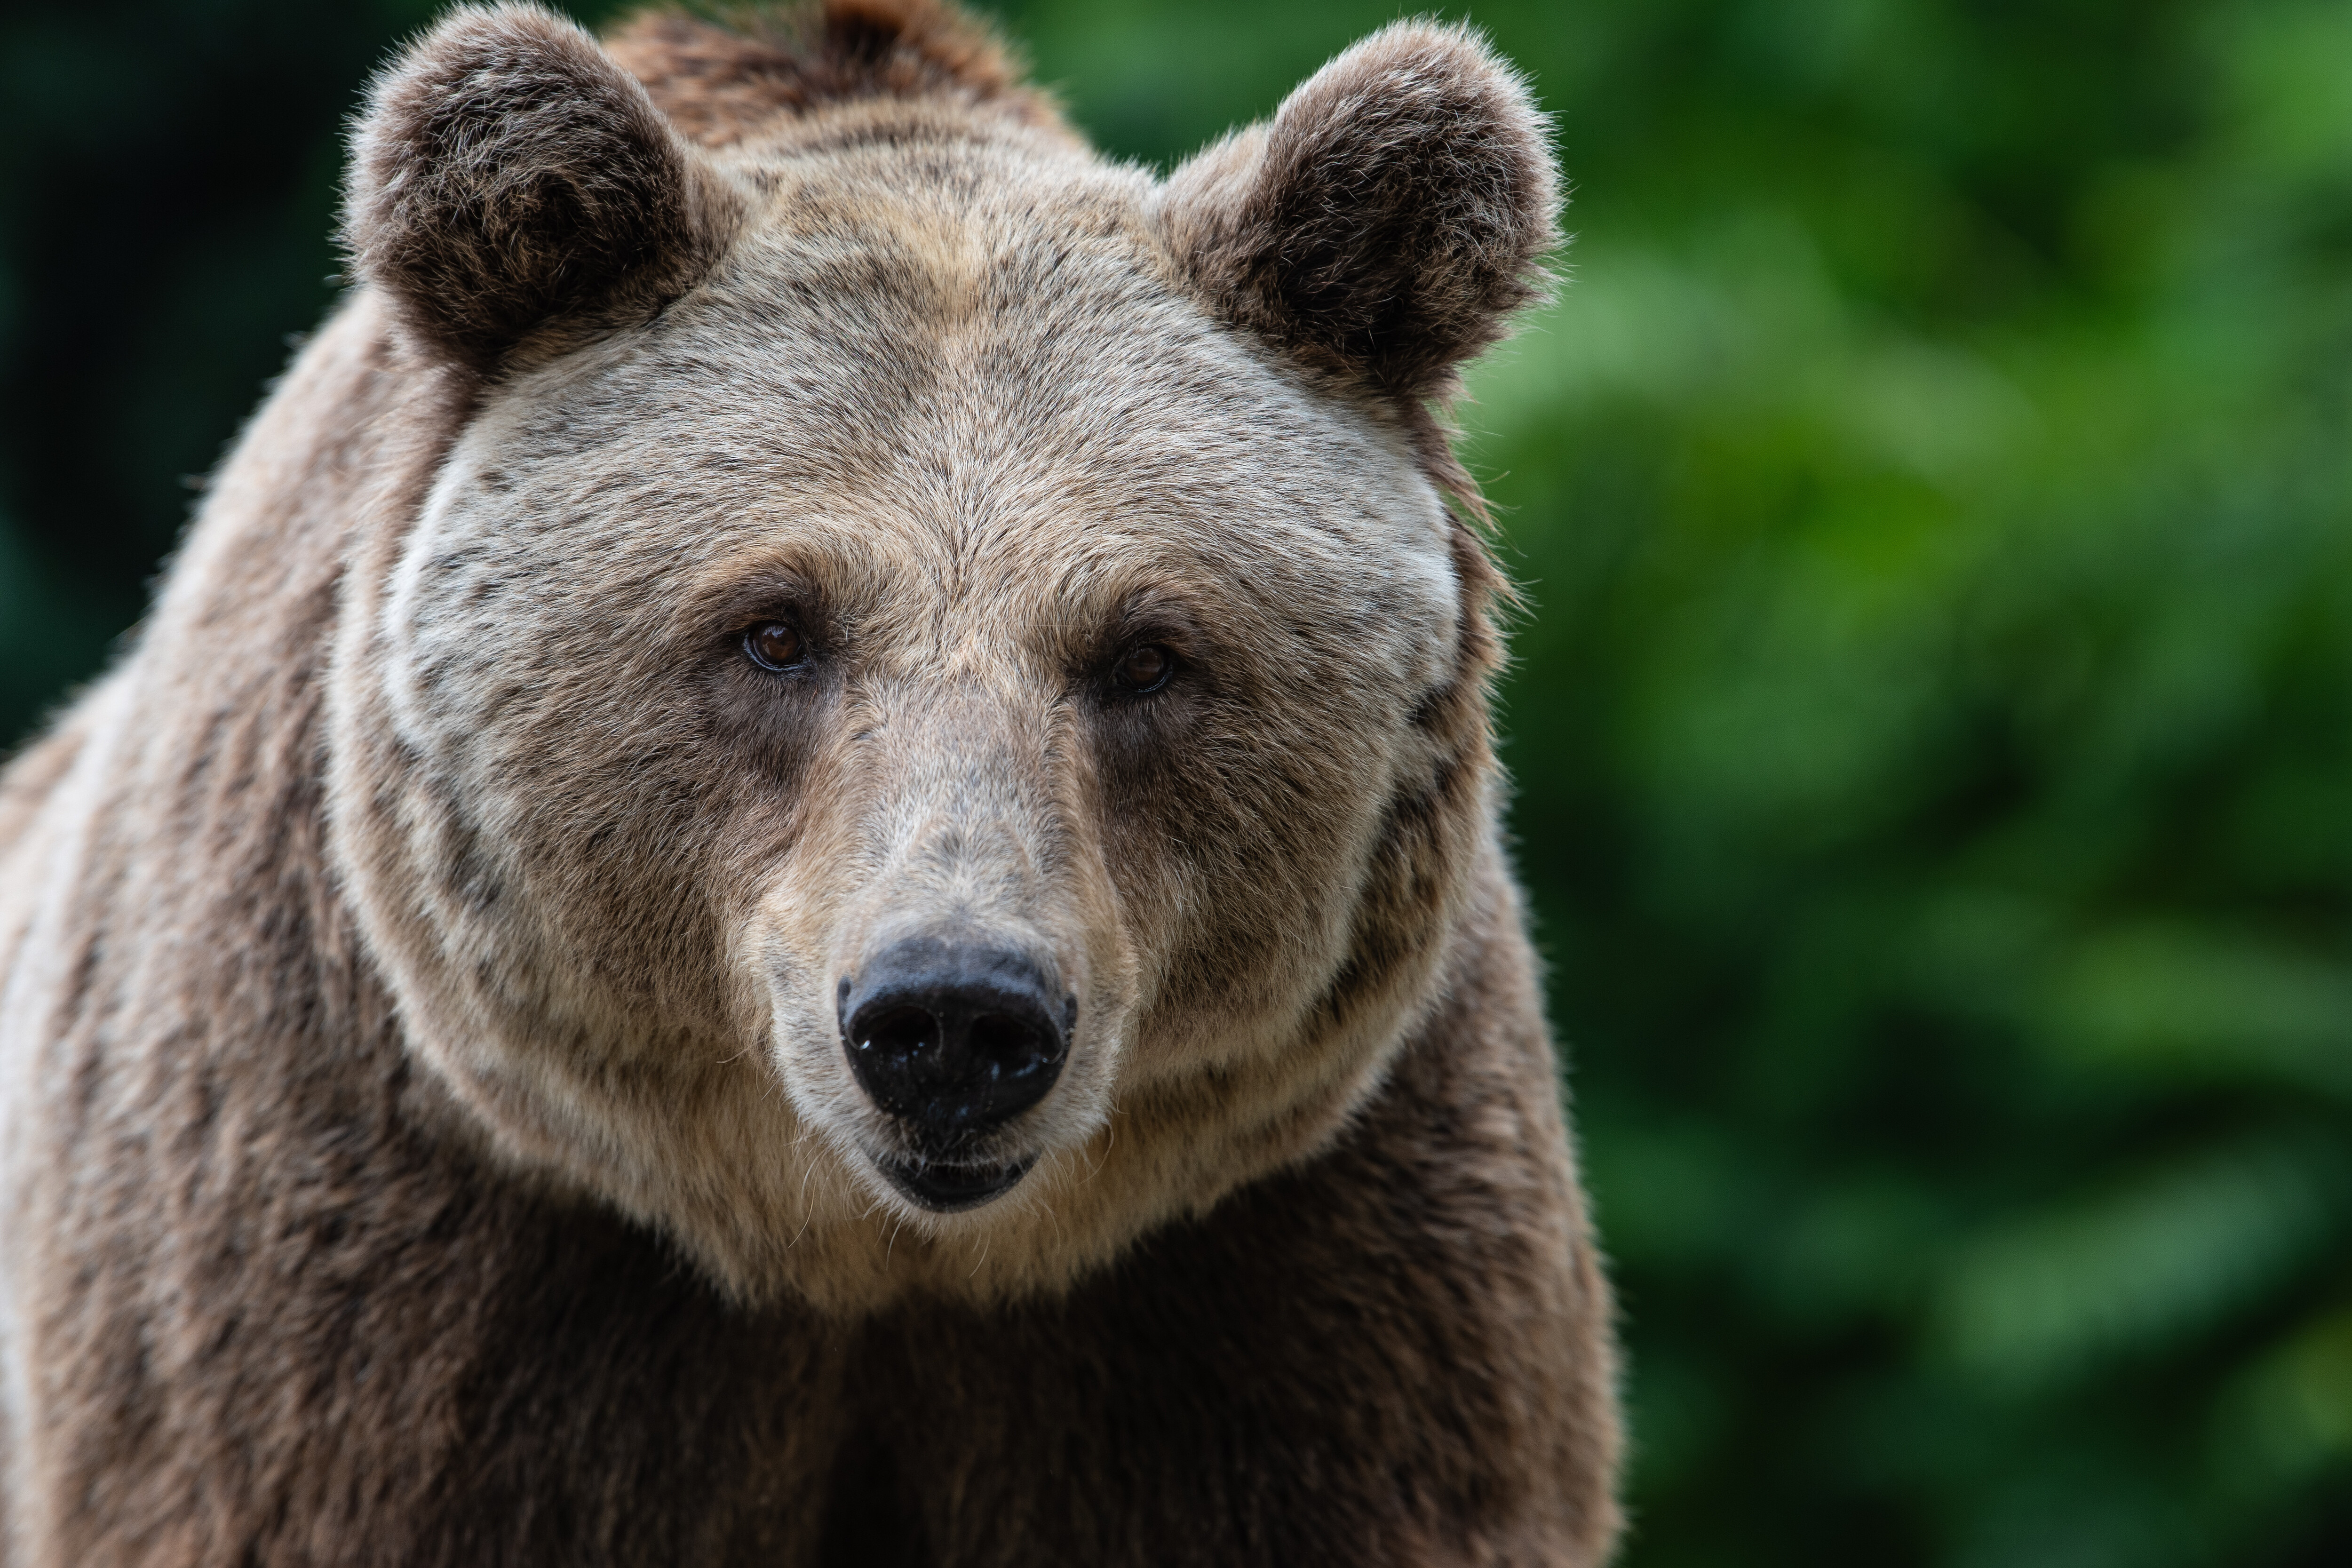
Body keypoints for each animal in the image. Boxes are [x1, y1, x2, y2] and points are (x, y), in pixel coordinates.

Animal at [0, 3, 1618, 1561]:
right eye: (775, 629)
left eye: (1147, 653)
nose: (954, 1015)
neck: (867, 1265)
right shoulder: (367, 1255)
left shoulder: (1306, 1274)